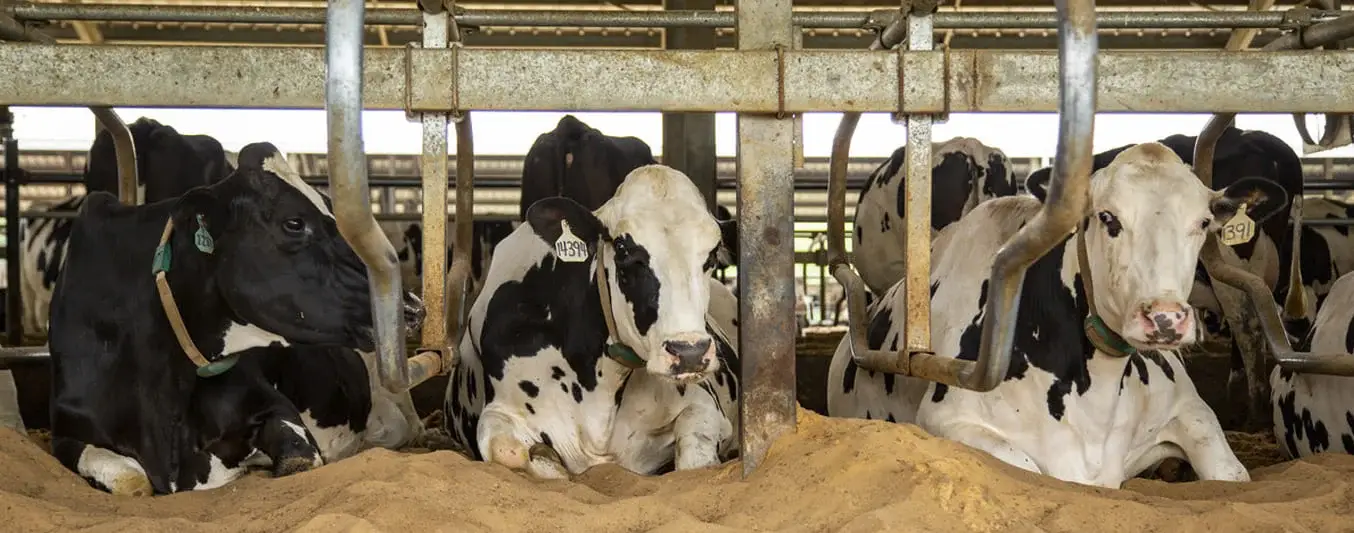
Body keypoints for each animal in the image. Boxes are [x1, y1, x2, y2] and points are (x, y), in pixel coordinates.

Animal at [50, 141, 422, 495]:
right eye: (294, 223)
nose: (412, 307)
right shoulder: (66, 432)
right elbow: (131, 481)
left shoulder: (271, 404)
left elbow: (297, 459)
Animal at [444, 163, 741, 478]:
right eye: (623, 249)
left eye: (713, 253)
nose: (690, 352)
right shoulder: (500, 411)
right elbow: (509, 450)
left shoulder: (704, 404)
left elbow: (696, 456)